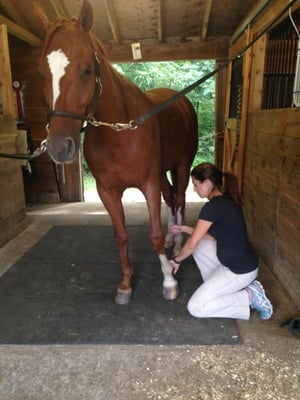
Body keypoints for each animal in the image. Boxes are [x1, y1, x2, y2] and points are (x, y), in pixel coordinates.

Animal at [34, 0, 198, 304]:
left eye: (87, 69)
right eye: (42, 72)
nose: (60, 147)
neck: (120, 132)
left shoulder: (147, 184)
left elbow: (154, 235)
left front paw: (169, 281)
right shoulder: (107, 191)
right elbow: (121, 235)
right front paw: (125, 285)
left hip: (182, 164)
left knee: (180, 198)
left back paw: (178, 243)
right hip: (162, 172)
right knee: (170, 198)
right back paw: (173, 237)